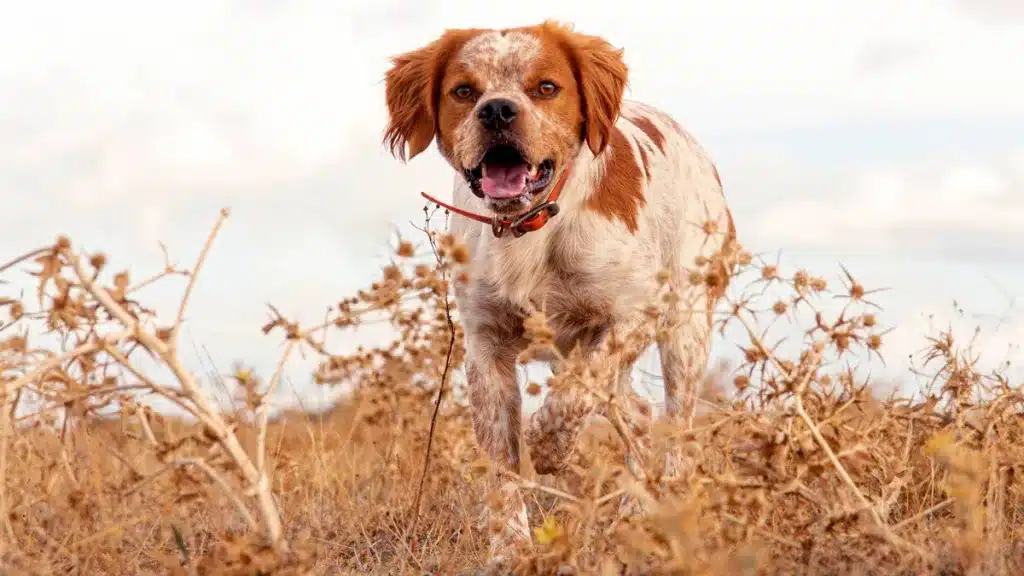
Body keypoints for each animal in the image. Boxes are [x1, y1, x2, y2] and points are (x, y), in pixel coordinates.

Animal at [380, 21, 733, 561]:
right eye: (463, 91)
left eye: (546, 87)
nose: (497, 110)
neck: (528, 227)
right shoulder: (485, 347)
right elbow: (501, 466)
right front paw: (510, 551)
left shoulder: (632, 315)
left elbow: (570, 400)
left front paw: (549, 449)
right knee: (638, 413)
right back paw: (633, 510)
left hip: (685, 330)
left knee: (676, 427)